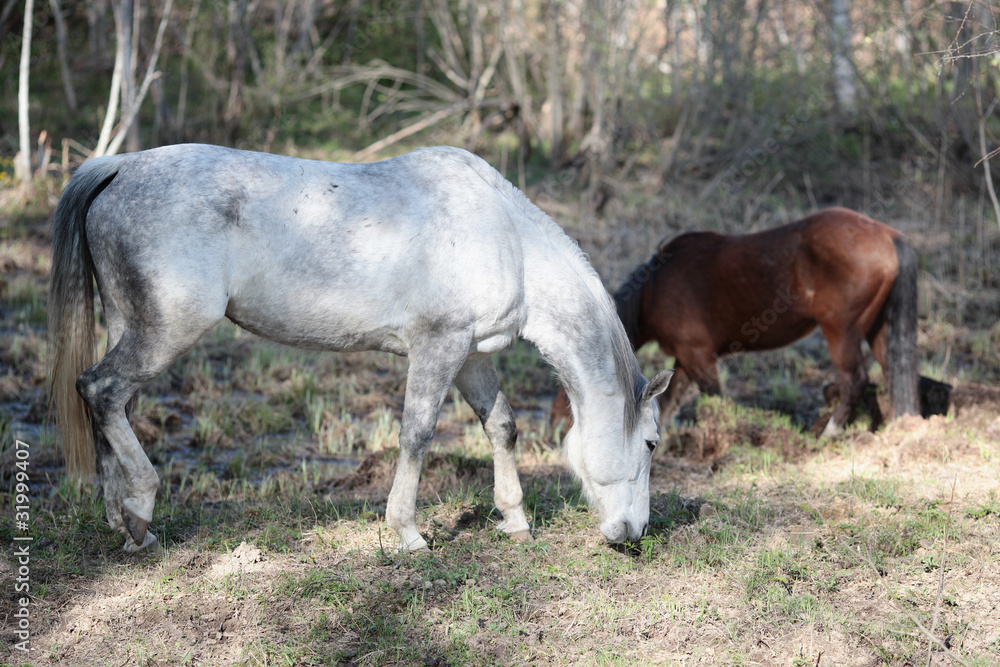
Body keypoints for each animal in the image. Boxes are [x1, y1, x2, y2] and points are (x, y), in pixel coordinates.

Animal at [47, 145, 672, 552]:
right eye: (651, 443)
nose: (635, 534)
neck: (508, 238)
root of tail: (120, 167)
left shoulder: (471, 355)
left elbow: (502, 426)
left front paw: (514, 519)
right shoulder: (438, 347)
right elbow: (417, 435)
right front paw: (407, 533)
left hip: (129, 326)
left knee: (111, 405)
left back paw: (126, 524)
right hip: (166, 333)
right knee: (99, 390)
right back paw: (141, 507)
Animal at [556, 209, 920, 436]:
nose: (555, 428)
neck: (653, 289)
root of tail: (886, 234)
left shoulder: (698, 356)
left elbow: (714, 399)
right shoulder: (685, 360)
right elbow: (670, 404)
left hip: (841, 331)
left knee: (855, 380)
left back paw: (829, 433)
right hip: (877, 329)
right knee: (893, 372)